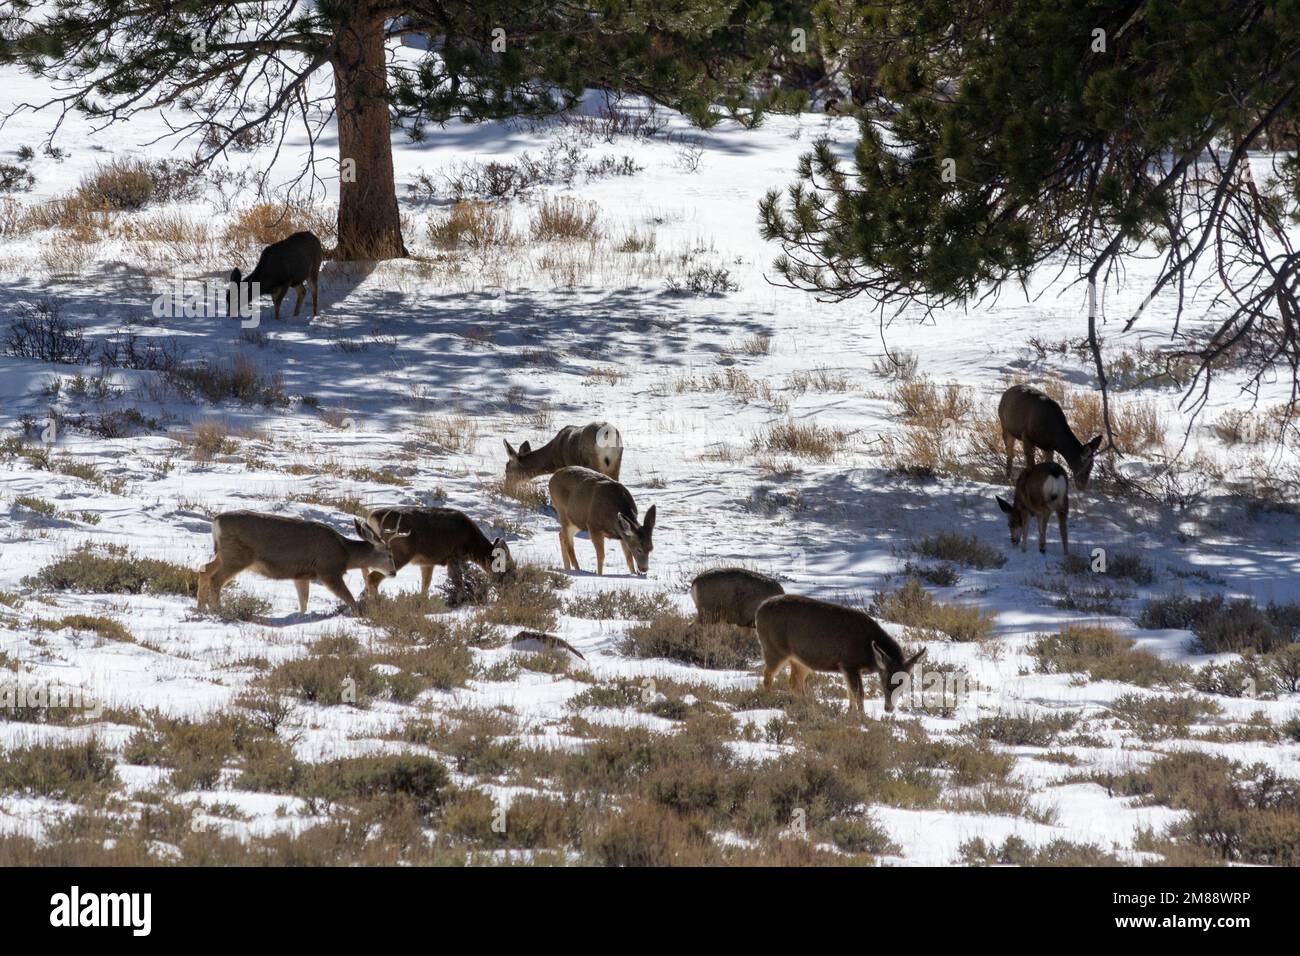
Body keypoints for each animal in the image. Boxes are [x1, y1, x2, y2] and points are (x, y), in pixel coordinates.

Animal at [196, 510, 408, 616]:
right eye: (389, 554)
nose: (394, 573)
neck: (345, 553)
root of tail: (216, 521)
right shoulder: (328, 570)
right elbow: (349, 599)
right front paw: (359, 616)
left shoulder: (301, 574)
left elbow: (303, 602)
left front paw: (300, 616)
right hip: (237, 556)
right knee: (216, 579)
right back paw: (218, 610)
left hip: (224, 554)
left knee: (204, 570)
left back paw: (200, 609)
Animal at [362, 506, 511, 599]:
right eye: (508, 569)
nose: (511, 590)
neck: (472, 543)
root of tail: (371, 517)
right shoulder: (454, 556)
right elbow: (458, 583)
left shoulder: (427, 562)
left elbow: (425, 586)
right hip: (399, 554)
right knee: (373, 577)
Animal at [754, 594, 926, 716]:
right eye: (887, 685)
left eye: (904, 685)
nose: (888, 708)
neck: (868, 650)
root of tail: (759, 610)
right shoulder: (849, 662)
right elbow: (858, 693)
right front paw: (862, 716)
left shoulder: (847, 667)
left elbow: (849, 691)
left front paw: (850, 712)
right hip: (773, 647)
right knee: (768, 674)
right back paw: (768, 700)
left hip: (800, 659)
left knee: (794, 682)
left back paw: (804, 704)